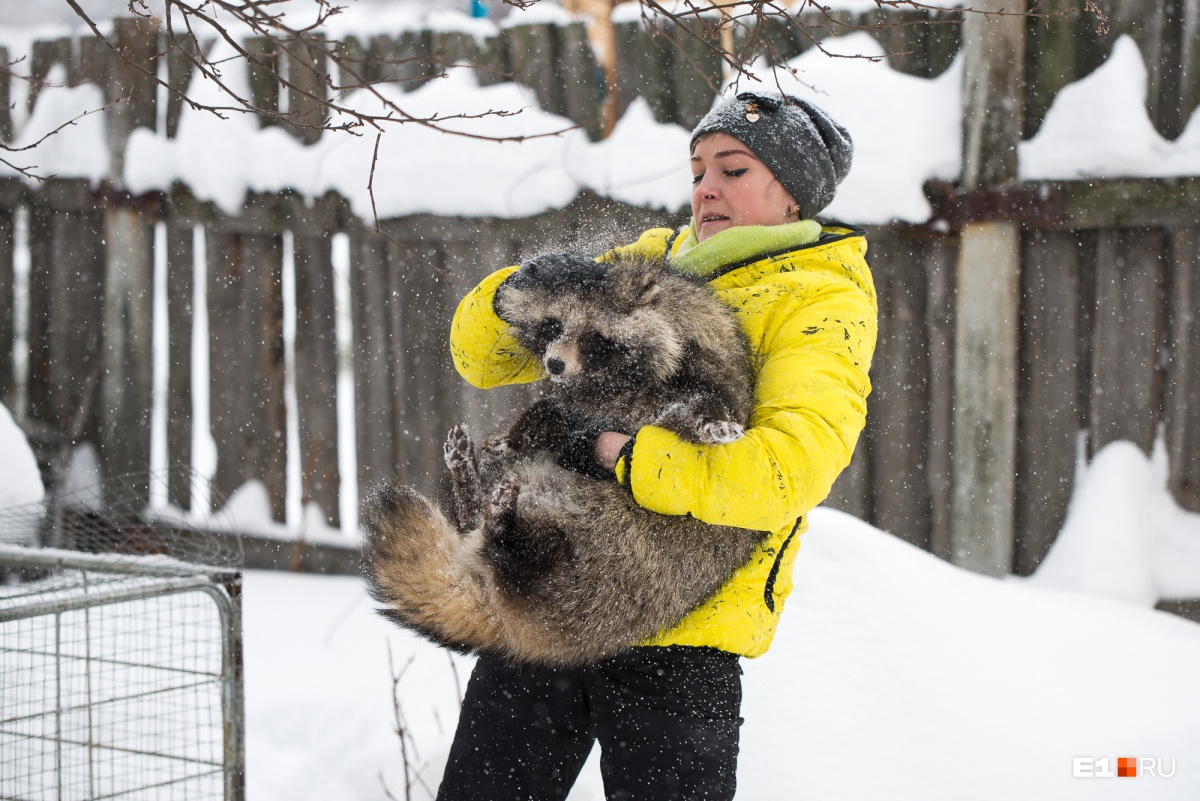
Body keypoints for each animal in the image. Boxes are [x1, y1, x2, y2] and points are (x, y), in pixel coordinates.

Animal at [360, 253, 763, 666]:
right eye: (554, 325)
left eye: (593, 337)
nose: (553, 364)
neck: (614, 380)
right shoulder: (578, 402)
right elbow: (549, 412)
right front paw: (515, 437)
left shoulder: (702, 383)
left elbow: (695, 411)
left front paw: (710, 422)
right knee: (487, 517)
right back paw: (472, 486)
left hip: (595, 573)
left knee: (524, 553)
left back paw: (499, 523)